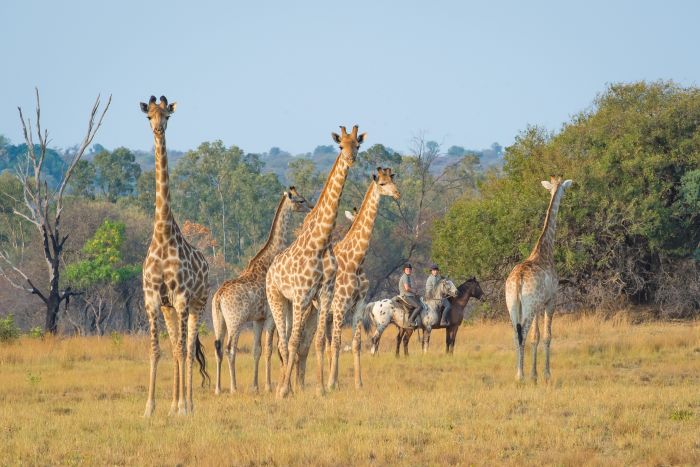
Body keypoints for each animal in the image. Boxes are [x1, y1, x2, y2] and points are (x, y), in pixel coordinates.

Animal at [209, 186, 310, 394]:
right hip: (236, 321)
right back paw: (233, 388)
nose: (311, 207)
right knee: (230, 348)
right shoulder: (269, 315)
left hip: (218, 321)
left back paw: (218, 389)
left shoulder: (258, 318)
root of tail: (218, 297)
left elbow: (257, 350)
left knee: (218, 348)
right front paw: (269, 386)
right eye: (301, 200)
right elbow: (269, 348)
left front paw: (256, 386)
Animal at [266, 124, 366, 398]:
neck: (321, 242)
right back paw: (282, 388)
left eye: (357, 144)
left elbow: (320, 340)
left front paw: (322, 387)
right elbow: (294, 342)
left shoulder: (325, 293)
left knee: (293, 341)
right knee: (284, 341)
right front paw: (284, 391)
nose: (351, 158)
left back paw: (290, 386)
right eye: (340, 145)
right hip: (277, 299)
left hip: (292, 304)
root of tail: (269, 271)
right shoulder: (303, 294)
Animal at [326, 168, 400, 392]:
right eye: (382, 183)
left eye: (392, 179)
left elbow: (356, 344)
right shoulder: (340, 305)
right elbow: (338, 343)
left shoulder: (358, 305)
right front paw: (331, 384)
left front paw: (358, 383)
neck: (356, 261)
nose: (397, 194)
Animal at [506, 176, 572, 384]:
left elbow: (536, 337)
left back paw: (518, 373)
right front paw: (546, 375)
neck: (544, 249)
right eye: (564, 189)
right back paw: (520, 376)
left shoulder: (538, 305)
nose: (564, 193)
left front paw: (534, 375)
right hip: (528, 306)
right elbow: (546, 336)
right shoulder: (550, 301)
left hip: (513, 305)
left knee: (515, 334)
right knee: (522, 334)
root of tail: (518, 280)